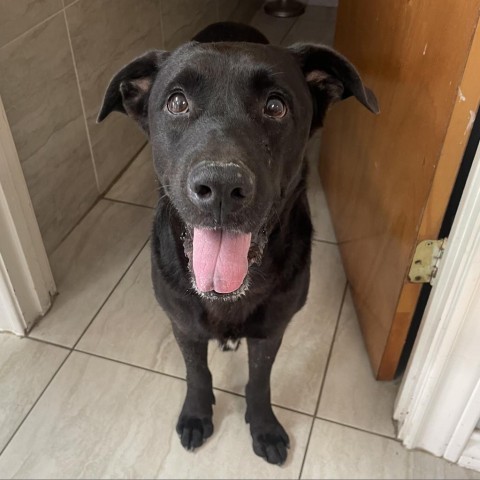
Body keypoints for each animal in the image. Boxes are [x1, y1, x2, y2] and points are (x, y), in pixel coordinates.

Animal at [97, 21, 376, 464]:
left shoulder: (272, 330)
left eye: (276, 106)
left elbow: (259, 381)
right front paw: (197, 414)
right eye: (177, 102)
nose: (222, 186)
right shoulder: (183, 325)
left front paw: (263, 426)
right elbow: (197, 372)